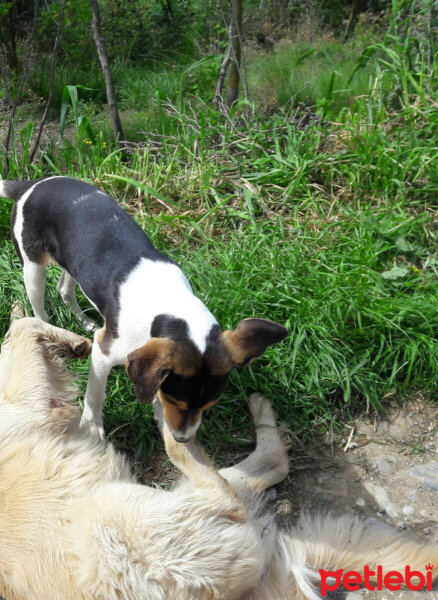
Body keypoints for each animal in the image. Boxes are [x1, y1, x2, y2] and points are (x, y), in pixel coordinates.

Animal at [0, 176, 290, 442]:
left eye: (209, 405)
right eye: (176, 401)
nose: (182, 439)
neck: (170, 304)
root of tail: (31, 183)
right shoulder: (103, 354)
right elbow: (95, 396)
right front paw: (92, 427)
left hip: (74, 264)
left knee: (64, 288)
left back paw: (85, 321)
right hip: (32, 267)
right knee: (39, 308)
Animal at [0, 310, 434, 600]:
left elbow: (19, 331)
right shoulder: (31, 404)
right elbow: (20, 332)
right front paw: (64, 338)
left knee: (245, 477)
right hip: (116, 511)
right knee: (240, 480)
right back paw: (185, 421)